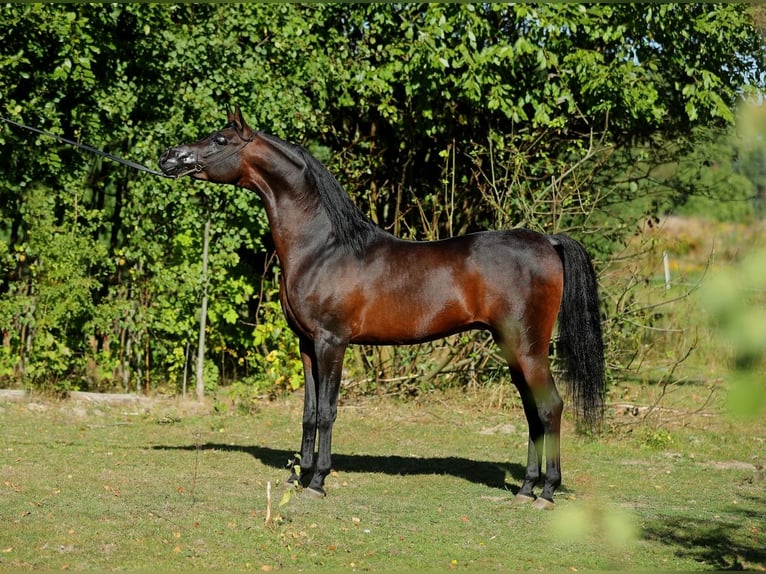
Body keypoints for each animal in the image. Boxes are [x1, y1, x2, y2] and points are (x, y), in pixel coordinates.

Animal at [160, 106, 608, 510]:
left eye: (220, 139)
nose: (169, 157)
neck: (322, 247)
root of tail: (548, 241)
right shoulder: (307, 345)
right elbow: (308, 412)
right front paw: (299, 474)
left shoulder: (332, 342)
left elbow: (328, 411)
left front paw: (317, 481)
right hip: (511, 347)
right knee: (532, 412)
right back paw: (526, 489)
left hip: (527, 347)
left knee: (549, 407)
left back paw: (546, 492)